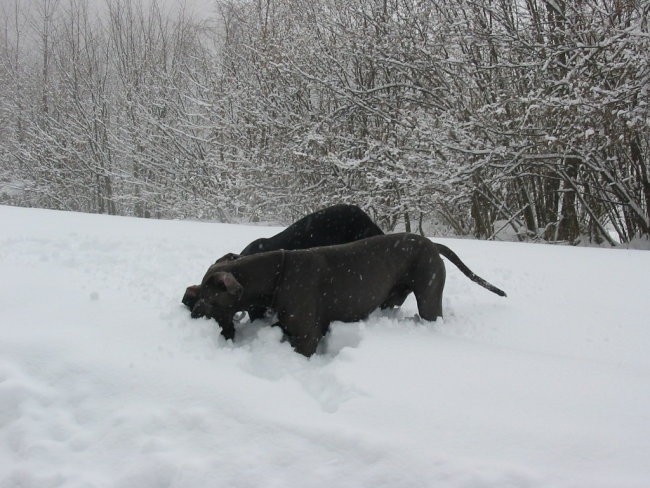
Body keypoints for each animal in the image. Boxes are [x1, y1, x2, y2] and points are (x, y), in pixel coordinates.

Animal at [190, 234, 504, 356]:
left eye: (208, 296)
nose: (191, 308)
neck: (278, 273)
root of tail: (432, 243)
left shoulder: (307, 336)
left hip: (429, 296)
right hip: (392, 297)